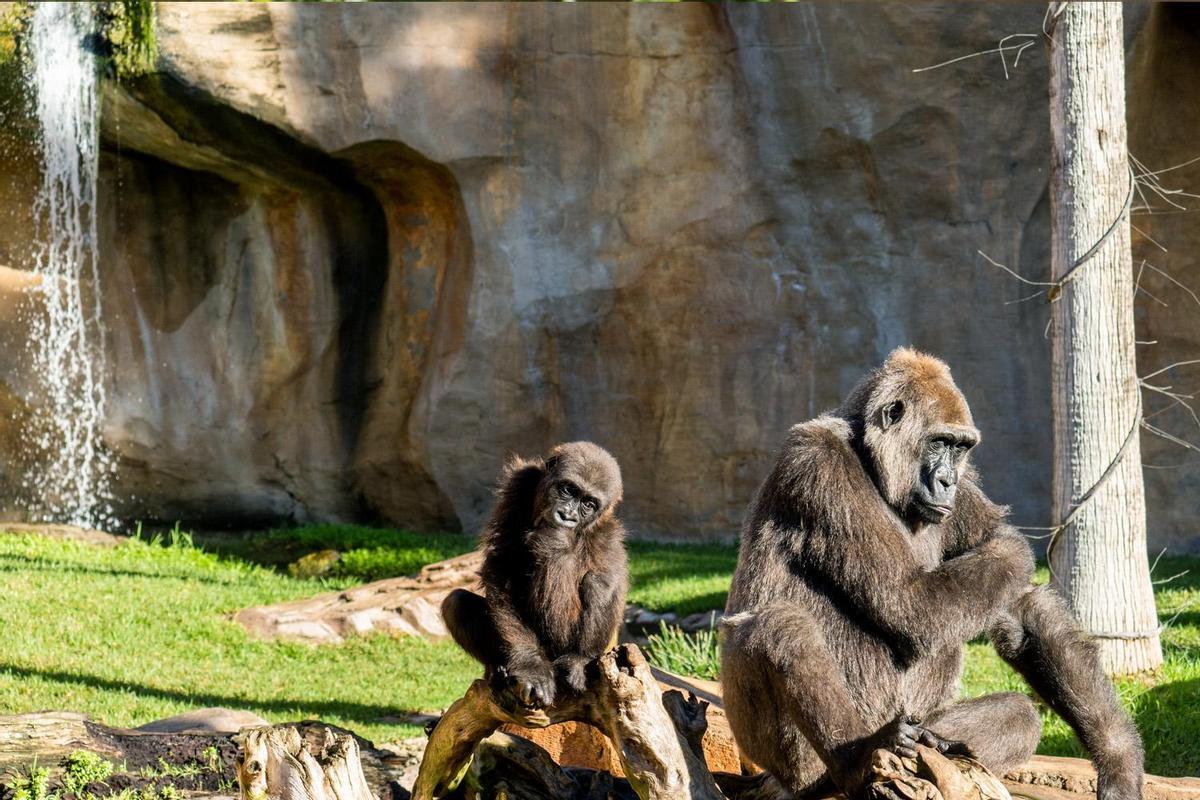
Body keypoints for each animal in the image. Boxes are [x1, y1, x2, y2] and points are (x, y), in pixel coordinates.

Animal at [441, 441, 628, 710]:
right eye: (568, 489)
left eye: (589, 504)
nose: (567, 515)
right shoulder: (519, 485)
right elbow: (503, 565)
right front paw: (531, 666)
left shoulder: (608, 535)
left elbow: (600, 578)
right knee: (456, 602)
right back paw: (499, 669)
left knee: (596, 583)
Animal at [720, 350, 1142, 800]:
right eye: (938, 442)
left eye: (961, 448)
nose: (946, 481)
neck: (869, 457)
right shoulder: (818, 465)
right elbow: (909, 600)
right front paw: (1013, 547)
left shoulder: (965, 488)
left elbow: (1023, 611)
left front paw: (1118, 760)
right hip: (789, 763)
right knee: (781, 627)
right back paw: (857, 761)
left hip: (916, 721)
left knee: (1017, 715)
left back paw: (934, 743)